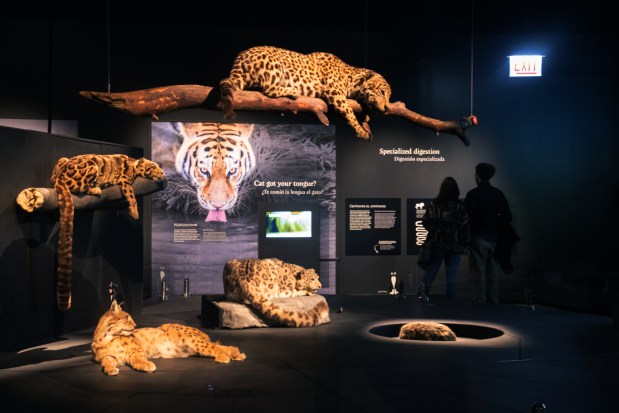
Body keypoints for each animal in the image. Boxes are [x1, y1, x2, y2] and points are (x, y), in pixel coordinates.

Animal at [51, 154, 166, 308]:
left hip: (63, 159)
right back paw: (97, 189)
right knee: (81, 187)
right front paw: (134, 213)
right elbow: (131, 196)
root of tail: (58, 175)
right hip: (92, 166)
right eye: (153, 167)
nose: (162, 172)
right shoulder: (125, 181)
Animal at [92, 298, 247, 374]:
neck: (107, 338)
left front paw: (145, 364)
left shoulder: (136, 350)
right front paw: (110, 370)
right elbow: (107, 361)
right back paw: (237, 354)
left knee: (215, 347)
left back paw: (225, 357)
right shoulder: (107, 356)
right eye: (126, 318)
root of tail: (200, 331)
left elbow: (137, 359)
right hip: (194, 347)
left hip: (190, 339)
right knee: (218, 346)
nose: (135, 326)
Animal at [219, 45, 392, 140]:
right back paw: (293, 91)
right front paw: (360, 130)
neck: (351, 79)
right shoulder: (334, 93)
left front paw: (366, 119)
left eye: (389, 97)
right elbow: (348, 111)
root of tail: (239, 59)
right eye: (382, 92)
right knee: (269, 89)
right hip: (274, 63)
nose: (386, 109)